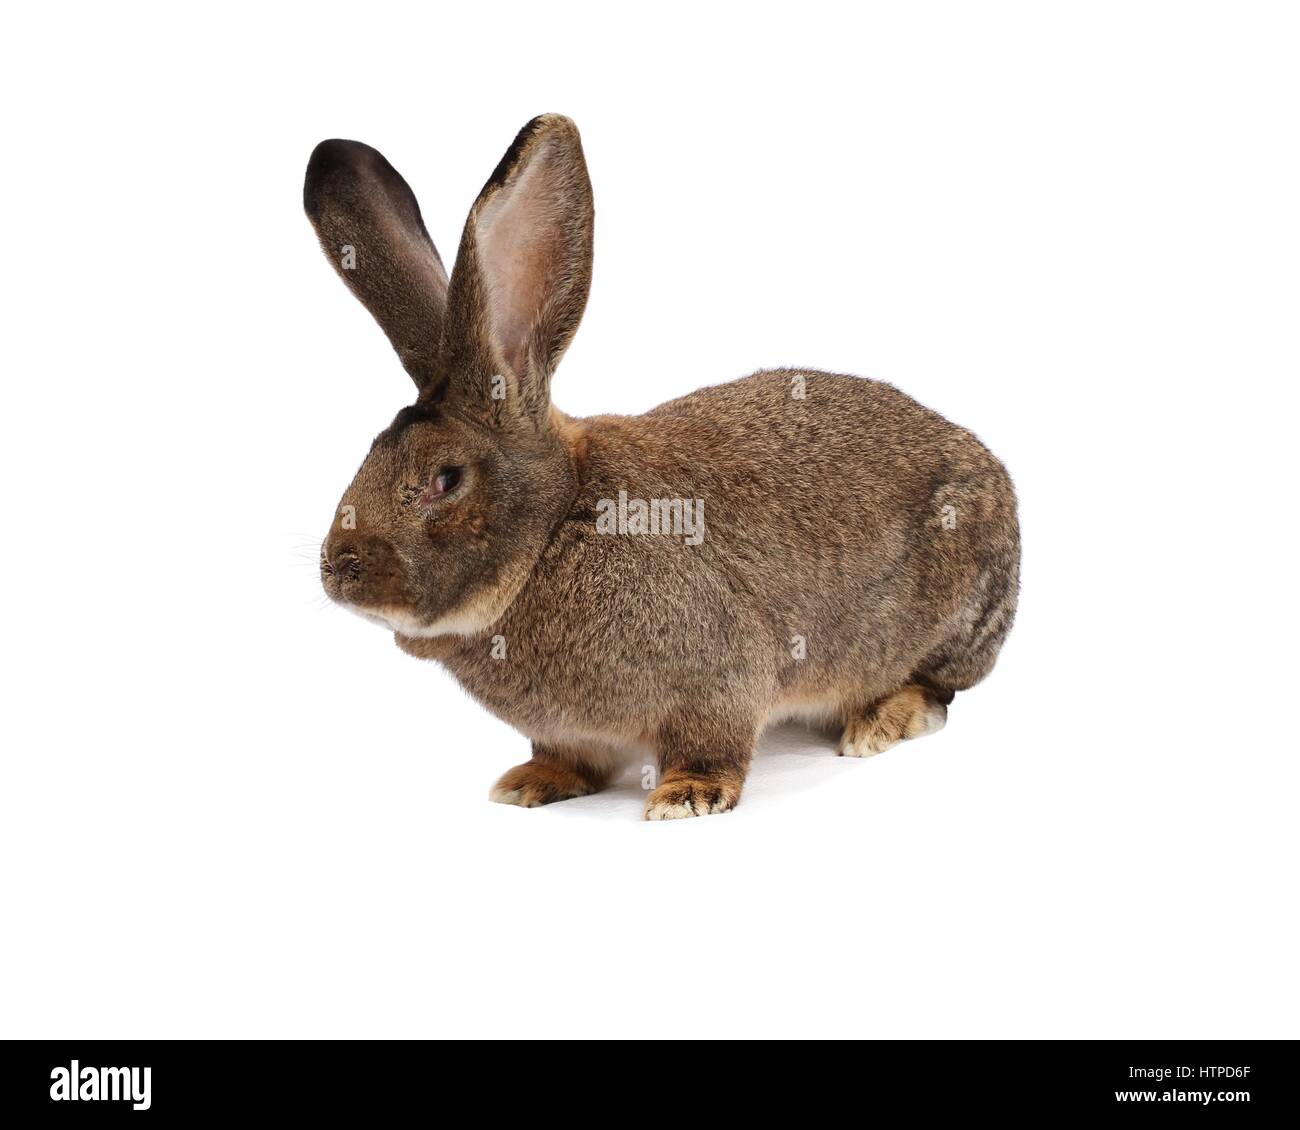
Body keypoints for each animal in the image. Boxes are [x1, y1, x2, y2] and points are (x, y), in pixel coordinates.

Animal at [306, 114, 1020, 820]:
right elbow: (566, 758)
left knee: (938, 687)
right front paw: (530, 783)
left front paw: (685, 797)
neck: (555, 530)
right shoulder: (571, 730)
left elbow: (711, 743)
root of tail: (989, 468)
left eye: (445, 480)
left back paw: (881, 722)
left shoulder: (717, 678)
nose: (339, 568)